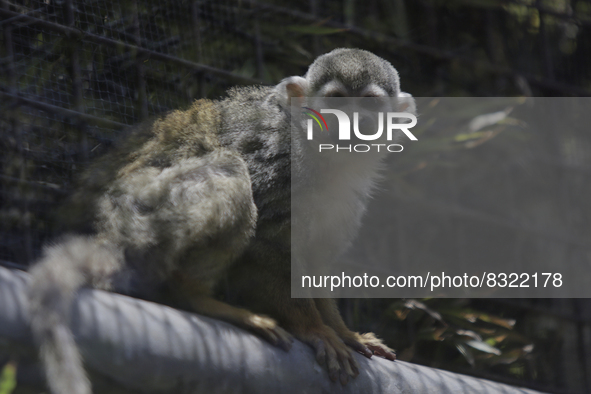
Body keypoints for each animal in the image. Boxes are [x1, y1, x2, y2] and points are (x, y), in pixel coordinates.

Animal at [27, 47, 416, 392]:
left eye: (368, 104)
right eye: (336, 100)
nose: (352, 123)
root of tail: (106, 233)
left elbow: (315, 258)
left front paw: (344, 332)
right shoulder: (282, 158)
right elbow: (266, 242)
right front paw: (315, 329)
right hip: (141, 215)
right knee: (229, 169)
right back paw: (194, 296)